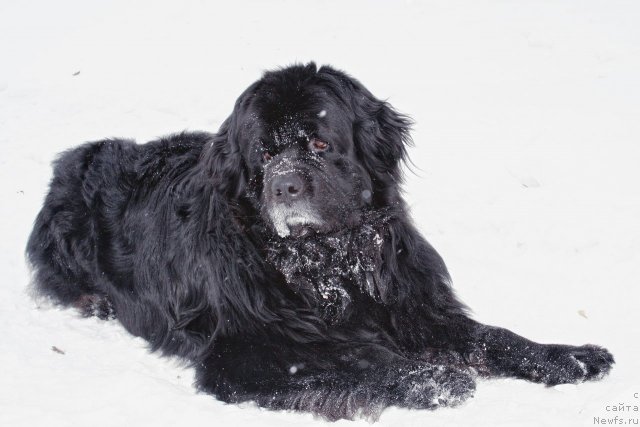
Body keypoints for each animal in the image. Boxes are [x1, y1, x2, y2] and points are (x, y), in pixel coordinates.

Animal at [27, 63, 612, 422]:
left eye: (320, 143)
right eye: (263, 154)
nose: (284, 186)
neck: (329, 262)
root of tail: (74, 158)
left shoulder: (414, 305)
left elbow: (494, 337)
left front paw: (573, 357)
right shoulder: (243, 355)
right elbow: (350, 358)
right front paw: (432, 378)